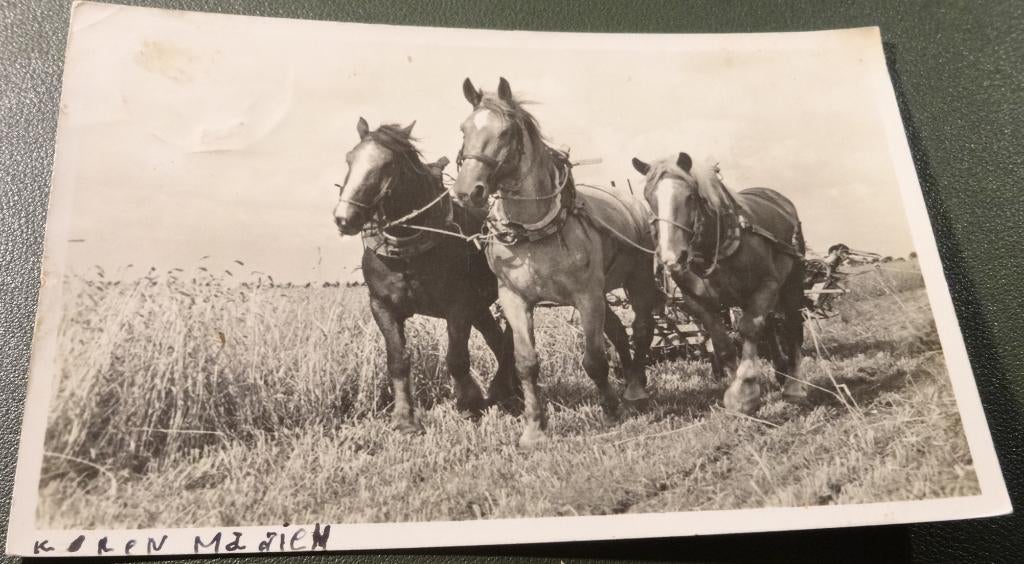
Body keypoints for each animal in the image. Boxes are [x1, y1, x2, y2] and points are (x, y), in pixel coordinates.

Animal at [333, 118, 519, 433]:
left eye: (388, 164)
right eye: (349, 158)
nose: (345, 217)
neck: (409, 252)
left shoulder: (459, 306)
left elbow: (457, 358)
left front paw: (470, 404)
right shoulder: (381, 305)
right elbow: (397, 359)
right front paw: (404, 418)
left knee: (509, 340)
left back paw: (506, 391)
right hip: (480, 308)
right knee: (497, 339)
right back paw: (509, 391)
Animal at [450, 78, 660, 448]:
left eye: (506, 132)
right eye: (464, 129)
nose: (466, 192)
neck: (534, 232)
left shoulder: (586, 296)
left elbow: (594, 359)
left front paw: (610, 410)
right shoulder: (514, 299)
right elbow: (526, 363)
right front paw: (534, 429)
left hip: (639, 280)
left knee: (641, 328)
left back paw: (635, 389)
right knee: (619, 333)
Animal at [631, 152, 808, 414]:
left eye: (690, 196)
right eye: (648, 197)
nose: (673, 257)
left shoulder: (768, 285)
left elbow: (749, 328)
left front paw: (745, 392)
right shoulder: (697, 303)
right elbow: (723, 343)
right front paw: (736, 389)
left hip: (792, 282)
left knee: (792, 324)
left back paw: (794, 386)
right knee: (770, 326)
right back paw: (781, 372)